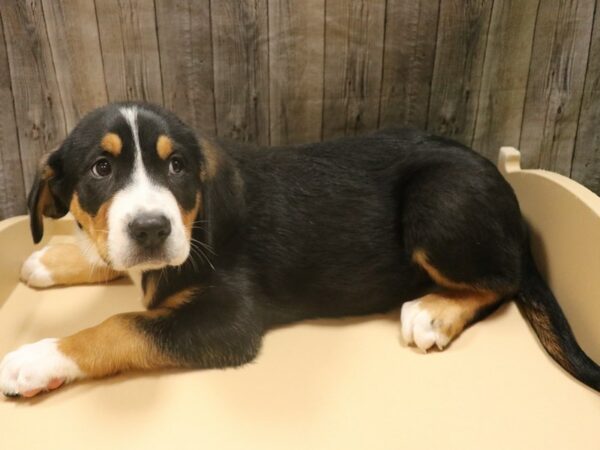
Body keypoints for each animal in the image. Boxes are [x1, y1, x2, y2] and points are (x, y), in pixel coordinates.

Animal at [1, 103, 600, 398]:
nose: (151, 228)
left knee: (504, 278)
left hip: (440, 201)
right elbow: (112, 258)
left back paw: (434, 312)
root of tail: (509, 196)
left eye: (177, 167)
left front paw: (36, 361)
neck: (199, 219)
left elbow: (120, 326)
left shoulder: (227, 321)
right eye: (101, 169)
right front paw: (54, 258)